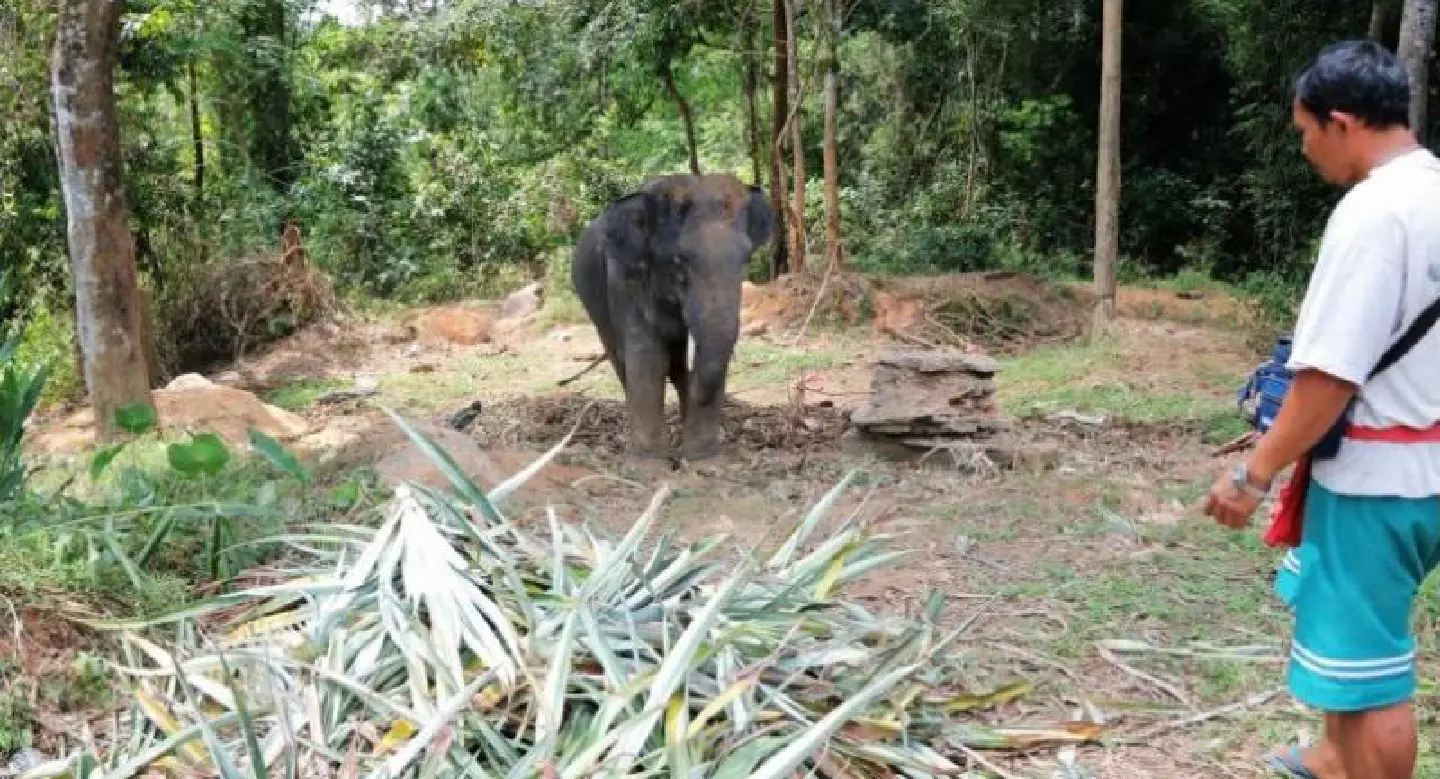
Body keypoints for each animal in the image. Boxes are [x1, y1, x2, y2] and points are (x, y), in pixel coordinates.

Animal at [571, 173, 773, 460]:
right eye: (678, 260)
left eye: (746, 258)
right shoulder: (624, 280)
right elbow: (647, 354)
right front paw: (651, 462)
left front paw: (703, 460)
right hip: (593, 305)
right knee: (619, 356)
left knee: (676, 361)